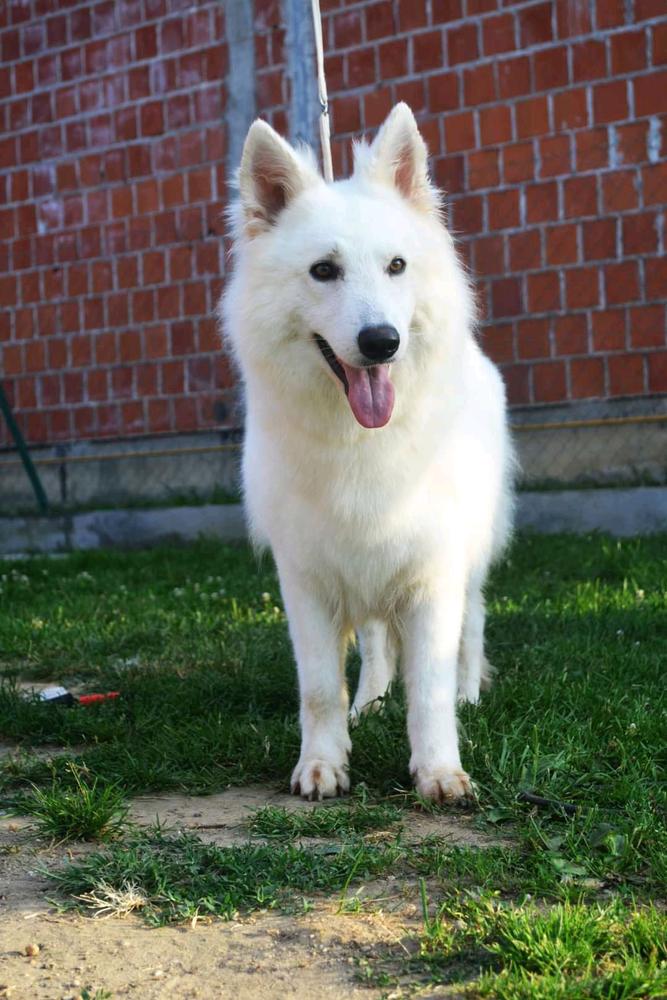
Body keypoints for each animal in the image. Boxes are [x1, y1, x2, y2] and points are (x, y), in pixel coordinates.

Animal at [222, 103, 516, 804]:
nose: (382, 342)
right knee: (379, 643)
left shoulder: (434, 571)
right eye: (324, 270)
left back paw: (468, 695)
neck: (361, 440)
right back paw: (372, 703)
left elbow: (430, 688)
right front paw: (323, 764)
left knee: (472, 626)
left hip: (469, 559)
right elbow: (320, 689)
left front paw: (439, 770)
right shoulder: (306, 579)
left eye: (397, 267)